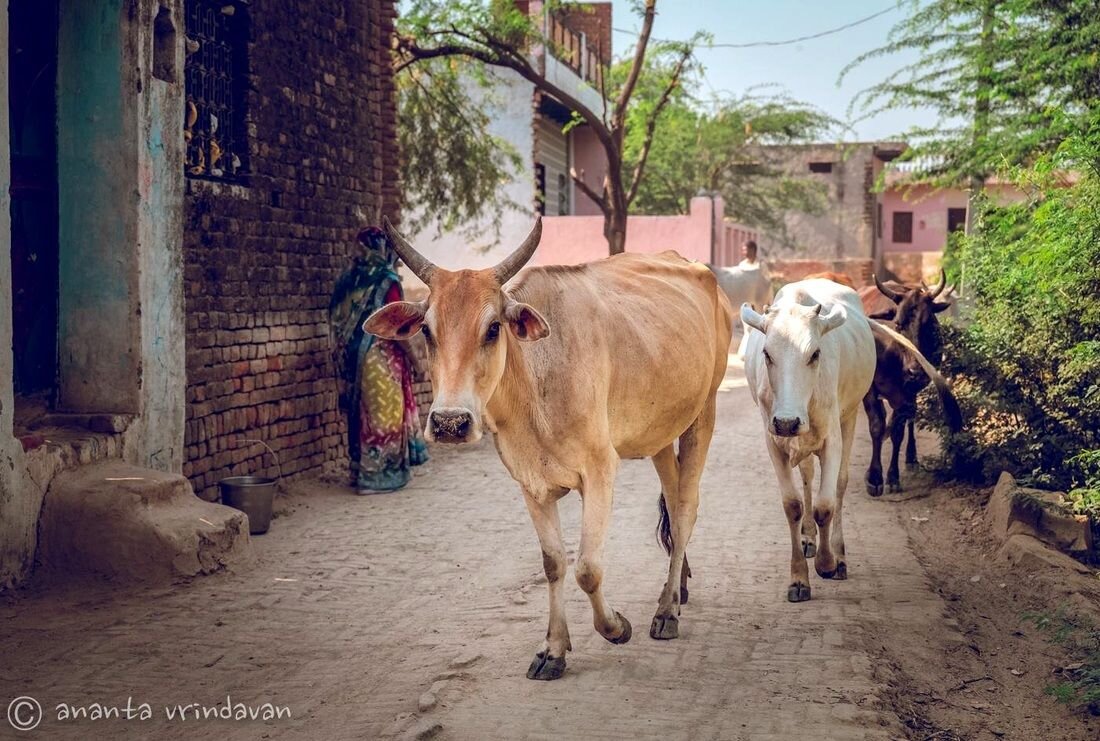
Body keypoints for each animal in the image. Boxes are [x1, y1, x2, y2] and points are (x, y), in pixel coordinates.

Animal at [365, 216, 734, 677]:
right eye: (428, 332)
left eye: (493, 328)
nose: (450, 422)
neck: (535, 384)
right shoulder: (531, 484)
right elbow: (554, 564)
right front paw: (553, 650)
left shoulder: (600, 472)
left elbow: (587, 569)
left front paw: (616, 627)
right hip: (662, 432)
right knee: (672, 499)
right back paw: (677, 588)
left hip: (704, 412)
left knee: (684, 511)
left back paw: (667, 612)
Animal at [743, 277, 924, 598]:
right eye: (767, 354)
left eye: (815, 354)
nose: (787, 421)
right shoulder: (774, 440)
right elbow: (793, 505)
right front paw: (799, 577)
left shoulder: (832, 439)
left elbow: (825, 506)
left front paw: (828, 563)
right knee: (807, 477)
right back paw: (808, 538)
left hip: (849, 417)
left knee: (840, 485)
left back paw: (838, 553)